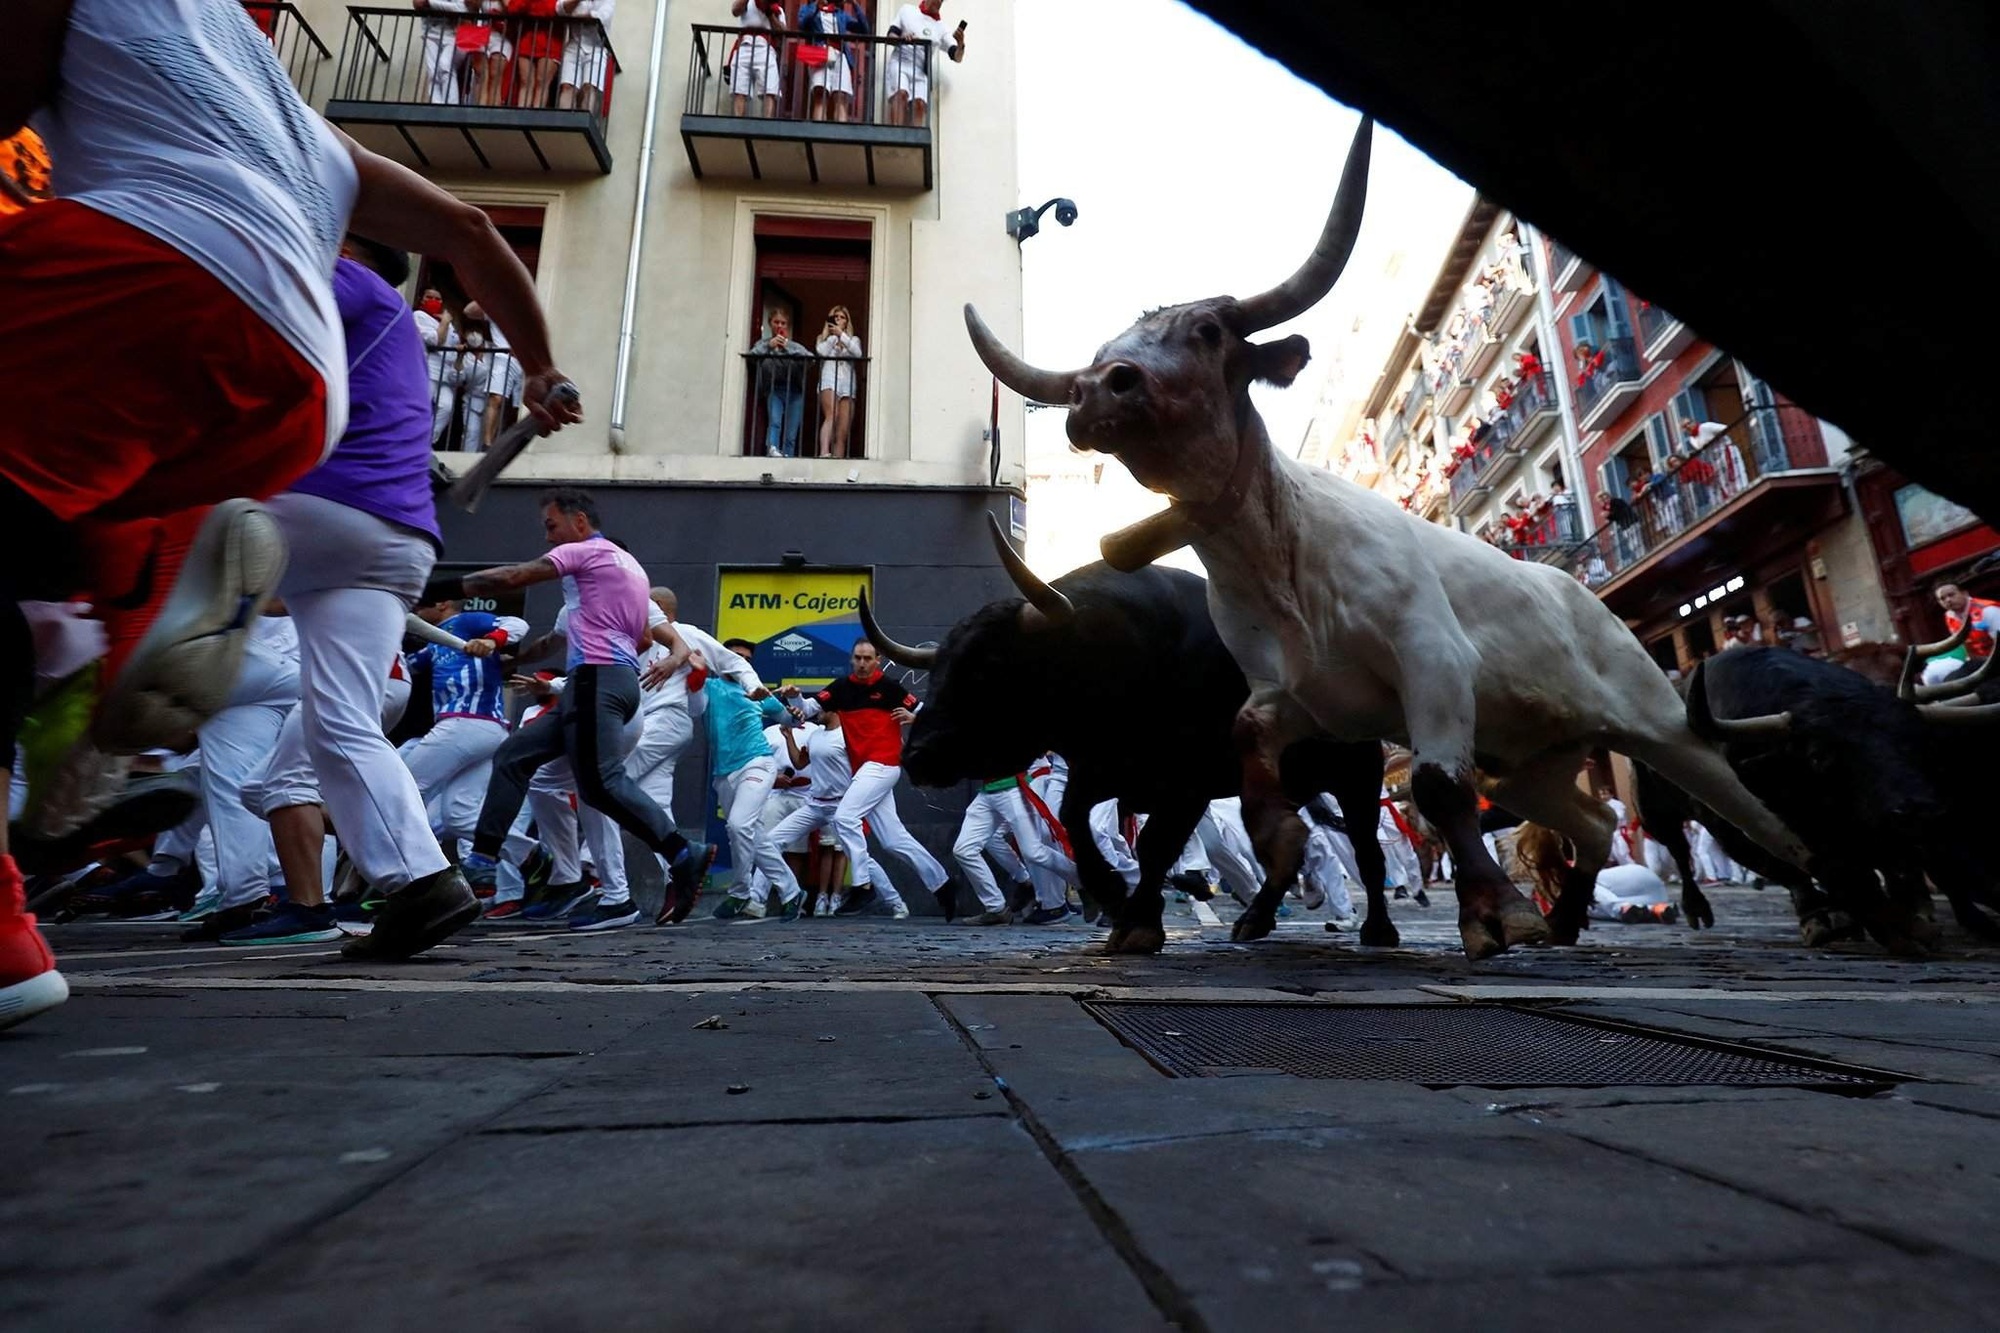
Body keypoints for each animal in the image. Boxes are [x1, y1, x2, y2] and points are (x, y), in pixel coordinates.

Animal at [868, 556, 1400, 948]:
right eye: (939, 666)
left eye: (988, 666)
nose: (918, 756)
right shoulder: (1100, 771)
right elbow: (1074, 821)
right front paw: (1111, 895)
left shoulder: (1186, 784)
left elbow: (1155, 847)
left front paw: (1139, 921)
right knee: (1291, 847)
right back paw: (1256, 917)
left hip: (1358, 773)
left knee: (1366, 851)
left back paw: (1377, 928)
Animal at [964, 111, 1816, 944]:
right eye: (1104, 352)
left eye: (1207, 331)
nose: (1098, 390)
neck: (1279, 555)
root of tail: (1582, 595)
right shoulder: (1296, 694)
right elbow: (1249, 744)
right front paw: (1280, 845)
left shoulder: (1432, 660)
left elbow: (1438, 784)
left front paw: (1493, 910)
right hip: (1531, 760)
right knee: (1595, 821)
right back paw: (1567, 917)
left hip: (1662, 724)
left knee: (1753, 813)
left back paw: (1820, 899)